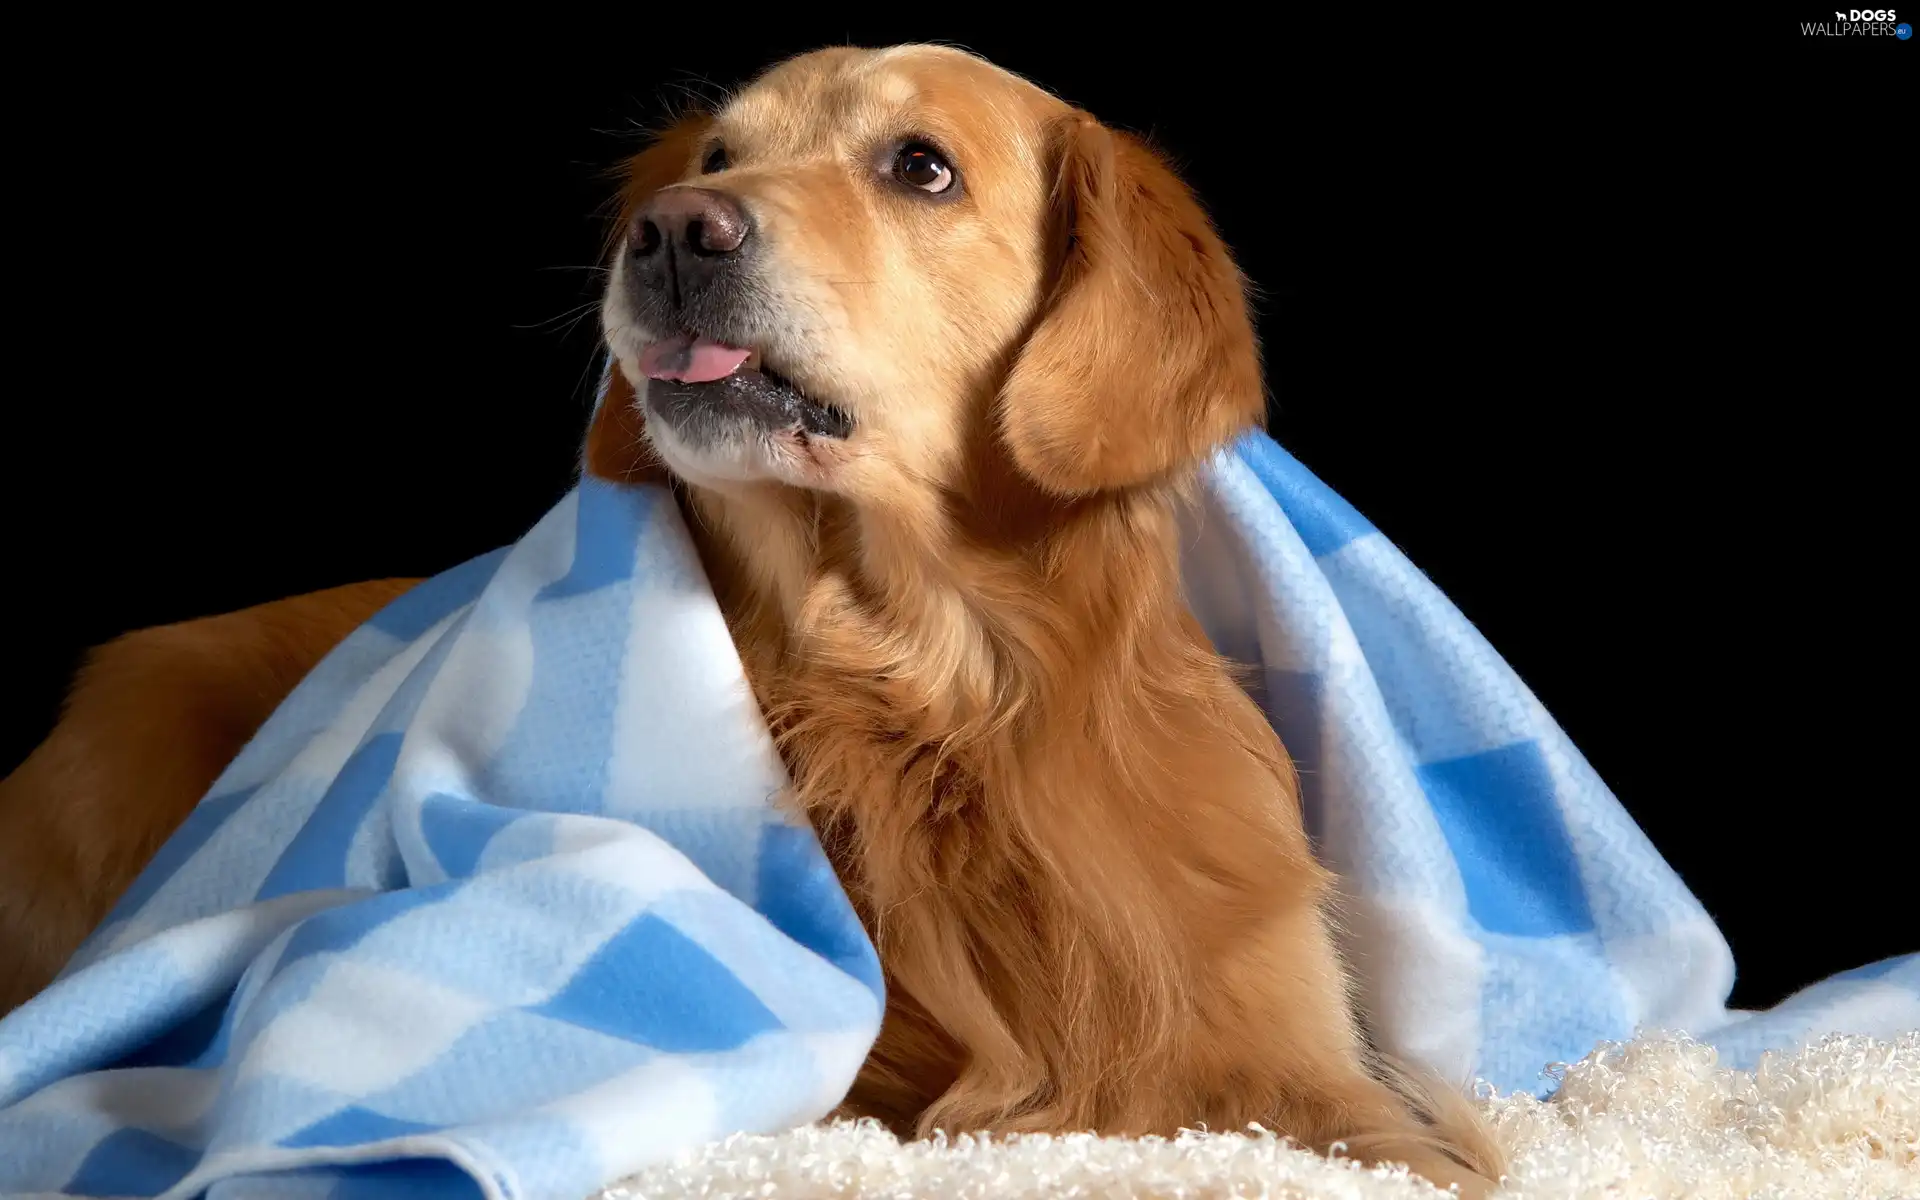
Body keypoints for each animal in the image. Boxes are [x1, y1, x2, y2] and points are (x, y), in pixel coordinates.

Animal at [0, 42, 1497, 1190]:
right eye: (716, 155)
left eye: (921, 166)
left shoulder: (1304, 1056)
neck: (925, 699)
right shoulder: (854, 1081)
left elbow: (1422, 1146)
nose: (673, 231)